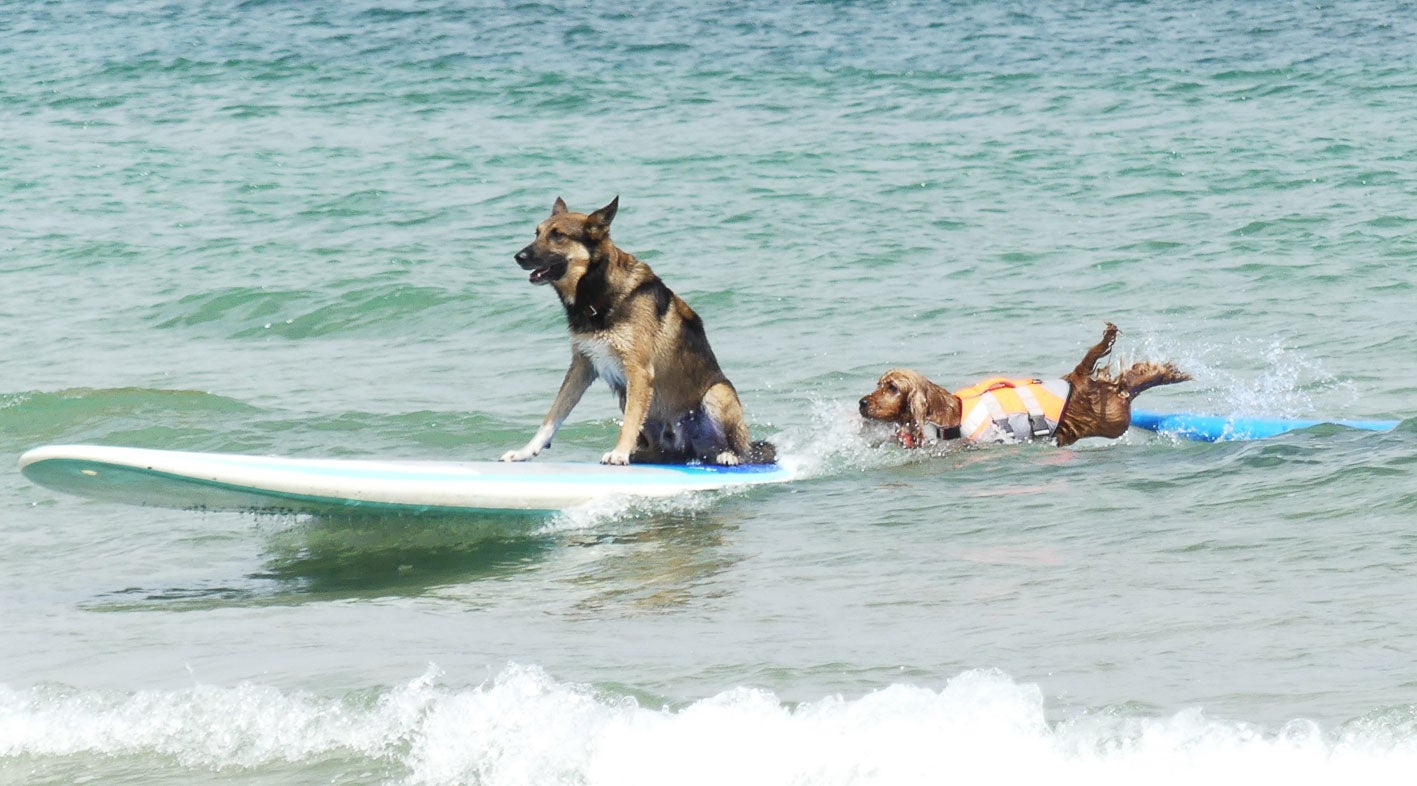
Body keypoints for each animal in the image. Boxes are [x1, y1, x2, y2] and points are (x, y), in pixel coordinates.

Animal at [504, 198, 776, 467]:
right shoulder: (582, 367)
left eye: (558, 235)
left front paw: (619, 453)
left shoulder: (638, 371)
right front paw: (525, 451)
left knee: (743, 451)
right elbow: (553, 415)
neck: (598, 291)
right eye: (537, 233)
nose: (518, 257)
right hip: (631, 399)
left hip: (717, 393)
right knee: (664, 452)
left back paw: (728, 455)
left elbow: (628, 423)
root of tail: (686, 447)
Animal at [855, 324, 1190, 450]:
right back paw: (1167, 373)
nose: (861, 403)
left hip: (1113, 419)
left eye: (892, 387)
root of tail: (1074, 379)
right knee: (1125, 382)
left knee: (1124, 386)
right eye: (878, 384)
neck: (949, 415)